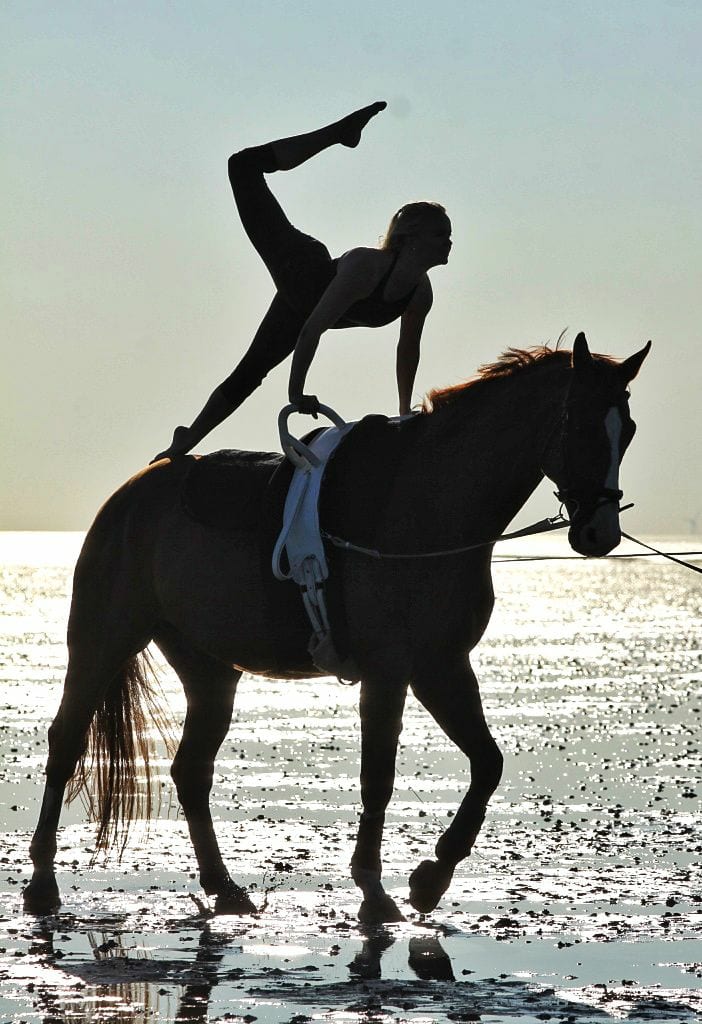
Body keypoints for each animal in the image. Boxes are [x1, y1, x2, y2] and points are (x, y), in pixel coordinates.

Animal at [24, 331, 650, 925]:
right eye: (584, 427)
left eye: (629, 430)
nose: (599, 533)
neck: (433, 501)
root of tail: (133, 491)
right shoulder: (390, 671)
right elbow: (379, 779)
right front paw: (375, 891)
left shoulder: (442, 666)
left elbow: (488, 765)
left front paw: (431, 878)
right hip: (104, 639)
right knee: (66, 742)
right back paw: (42, 882)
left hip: (209, 670)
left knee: (191, 770)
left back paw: (224, 888)